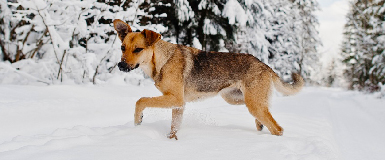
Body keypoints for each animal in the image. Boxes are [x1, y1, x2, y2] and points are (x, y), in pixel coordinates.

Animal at [112, 19, 304, 140]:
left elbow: (141, 100)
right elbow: (174, 127)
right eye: (122, 47)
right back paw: (259, 125)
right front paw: (171, 141)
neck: (161, 60)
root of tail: (264, 65)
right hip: (237, 99)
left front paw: (138, 120)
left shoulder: (175, 99)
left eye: (138, 49)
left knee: (278, 129)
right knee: (266, 113)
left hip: (252, 103)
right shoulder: (178, 105)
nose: (121, 65)